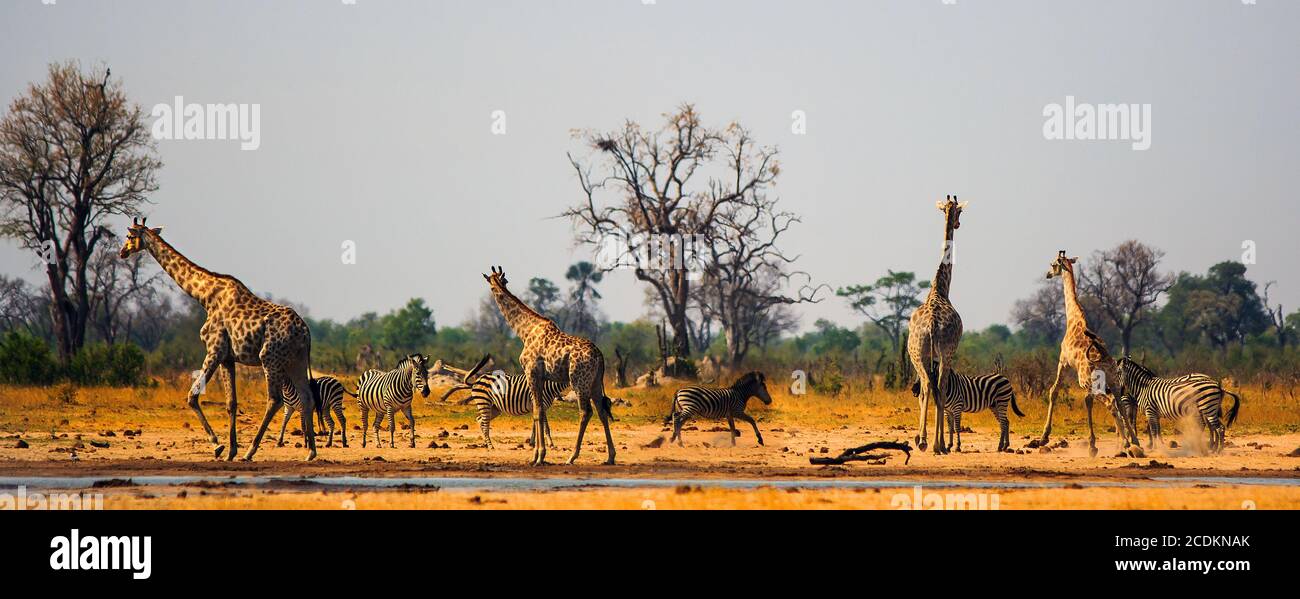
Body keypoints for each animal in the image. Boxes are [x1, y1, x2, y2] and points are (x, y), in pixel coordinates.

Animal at [118, 216, 317, 459]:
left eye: (129, 235)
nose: (122, 252)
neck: (204, 296)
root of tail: (305, 331)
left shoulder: (214, 349)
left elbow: (192, 396)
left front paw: (217, 445)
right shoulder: (228, 358)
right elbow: (231, 402)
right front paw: (230, 450)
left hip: (270, 358)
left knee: (275, 399)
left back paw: (250, 451)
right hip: (295, 360)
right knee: (307, 397)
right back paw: (310, 452)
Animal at [483, 266, 613, 467]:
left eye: (491, 284)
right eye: (504, 281)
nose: (495, 291)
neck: (525, 331)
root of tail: (599, 355)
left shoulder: (531, 372)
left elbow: (537, 411)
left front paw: (538, 456)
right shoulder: (542, 377)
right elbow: (541, 411)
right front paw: (538, 454)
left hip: (579, 380)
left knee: (586, 412)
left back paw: (572, 456)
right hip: (596, 382)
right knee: (602, 411)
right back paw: (610, 457)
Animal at [1034, 250, 1138, 452]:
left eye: (1053, 264)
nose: (1048, 274)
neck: (1073, 318)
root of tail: (1104, 357)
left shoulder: (1063, 361)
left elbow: (1053, 391)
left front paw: (1044, 437)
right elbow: (1087, 402)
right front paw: (1092, 444)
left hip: (1089, 381)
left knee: (1111, 404)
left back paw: (1126, 443)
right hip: (1112, 381)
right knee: (1119, 404)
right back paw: (1134, 441)